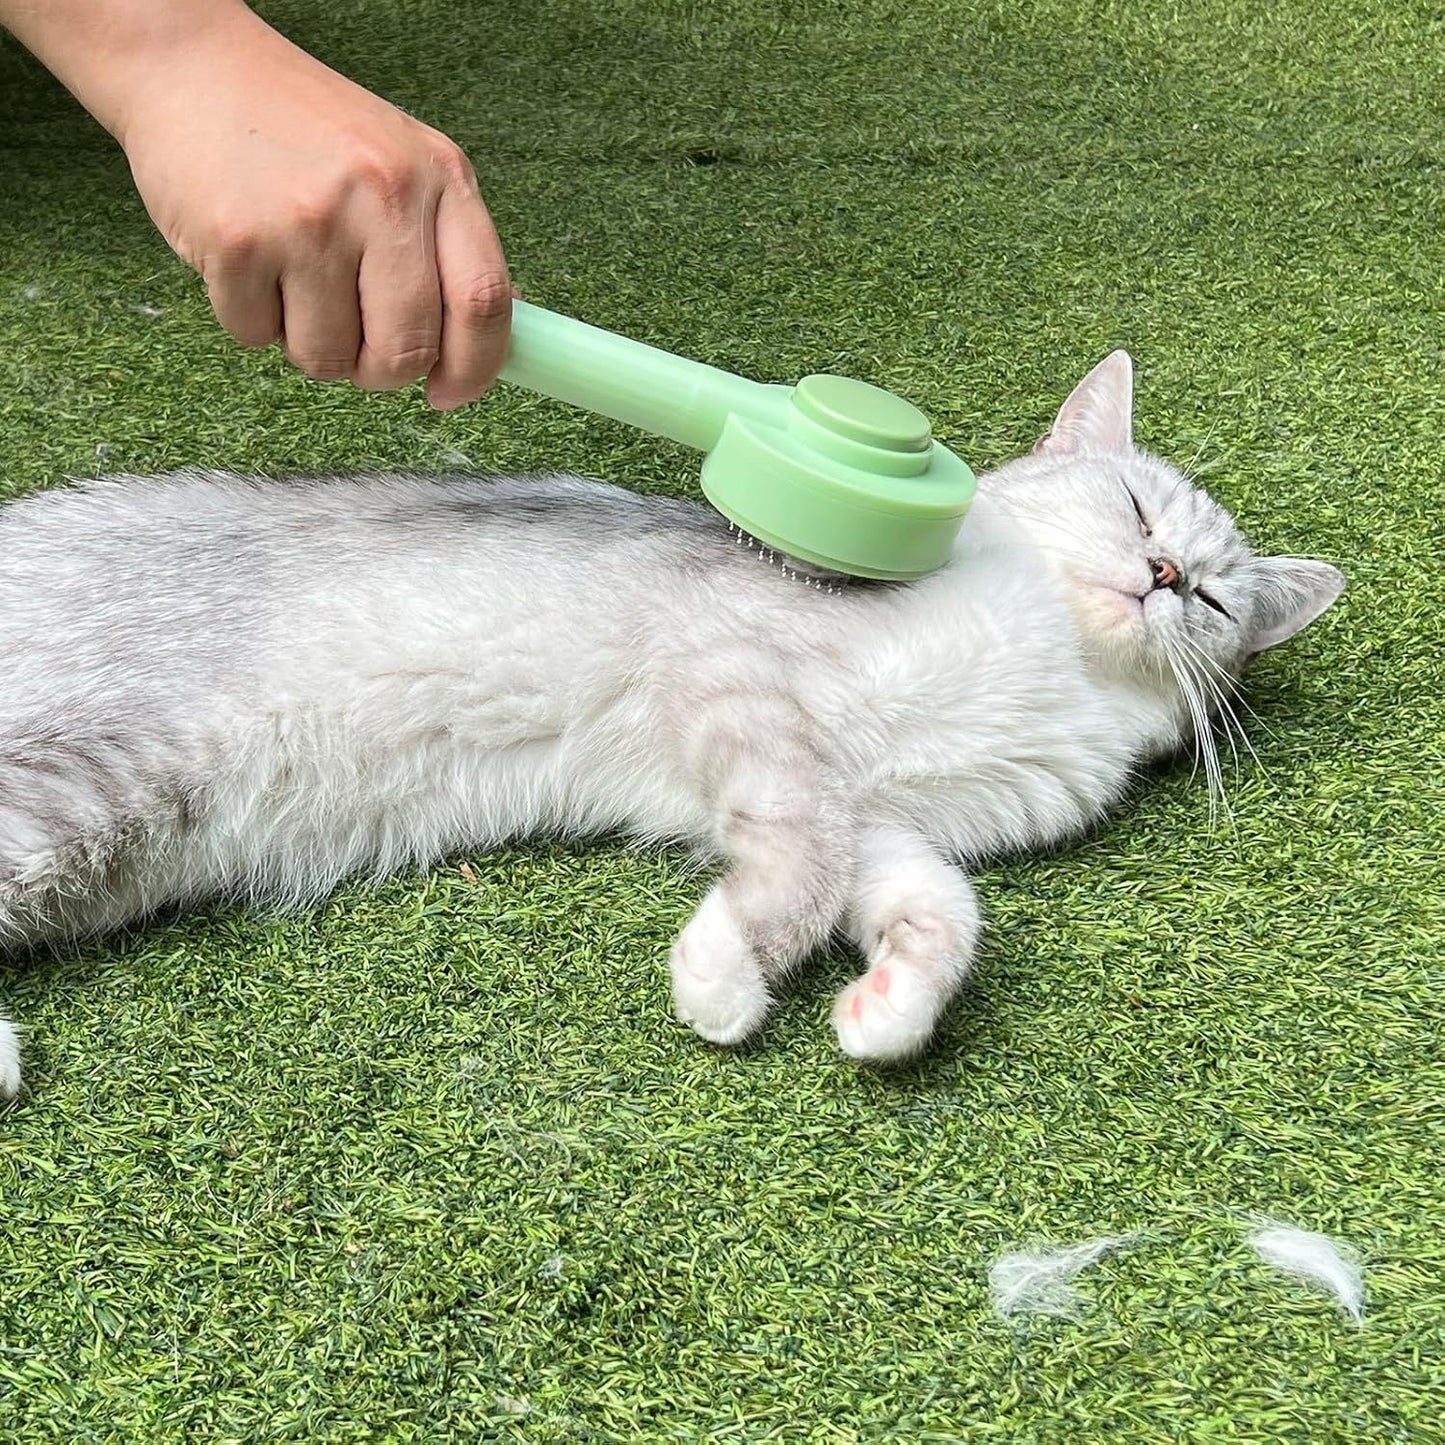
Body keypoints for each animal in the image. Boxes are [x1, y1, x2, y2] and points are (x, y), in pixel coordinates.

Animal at [0, 352, 1340, 1092]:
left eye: (1214, 596)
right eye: (1132, 507)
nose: (1162, 575)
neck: (1058, 661)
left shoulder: (884, 820)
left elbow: (943, 912)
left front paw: (884, 1012)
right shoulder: (745, 696)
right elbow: (799, 869)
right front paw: (721, 981)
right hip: (105, 785)